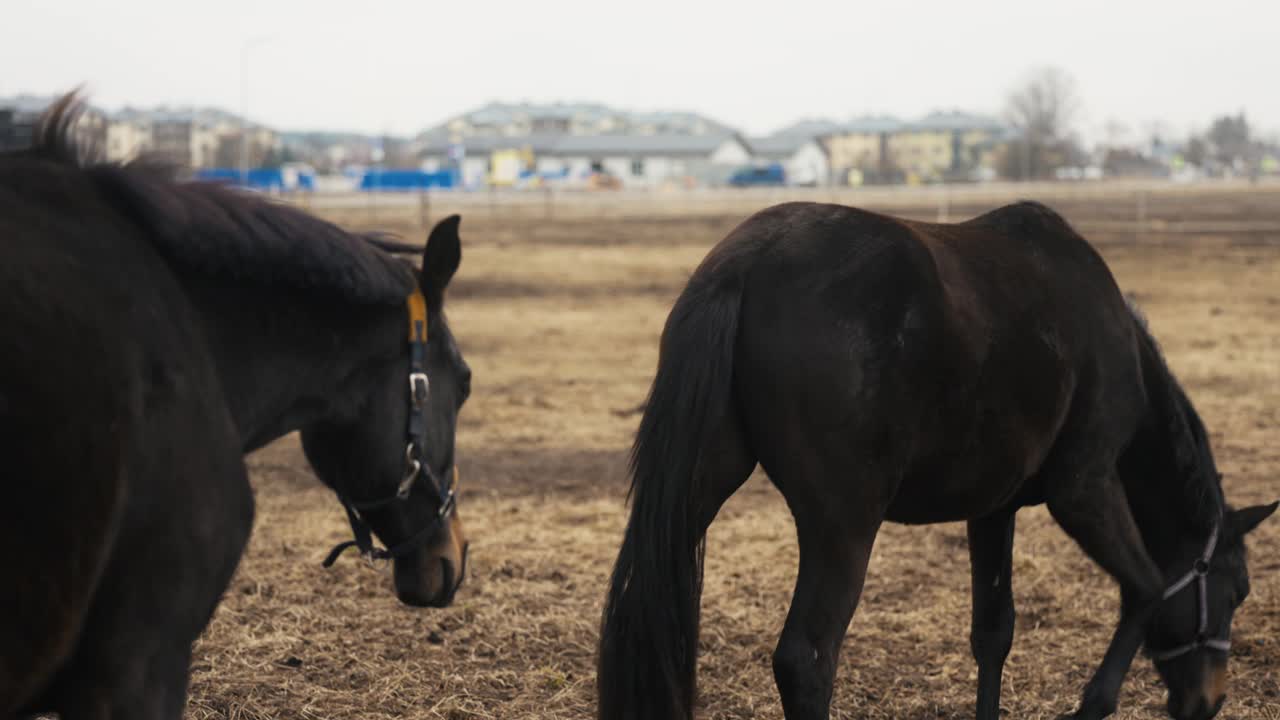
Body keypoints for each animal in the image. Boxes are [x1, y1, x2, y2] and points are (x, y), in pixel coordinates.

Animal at [601, 199, 1280, 717]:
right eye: (1238, 591)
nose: (1209, 701)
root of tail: (748, 261)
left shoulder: (994, 509)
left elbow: (993, 634)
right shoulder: (1084, 489)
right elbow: (1146, 588)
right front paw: (1095, 703)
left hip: (700, 490)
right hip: (844, 525)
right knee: (806, 660)